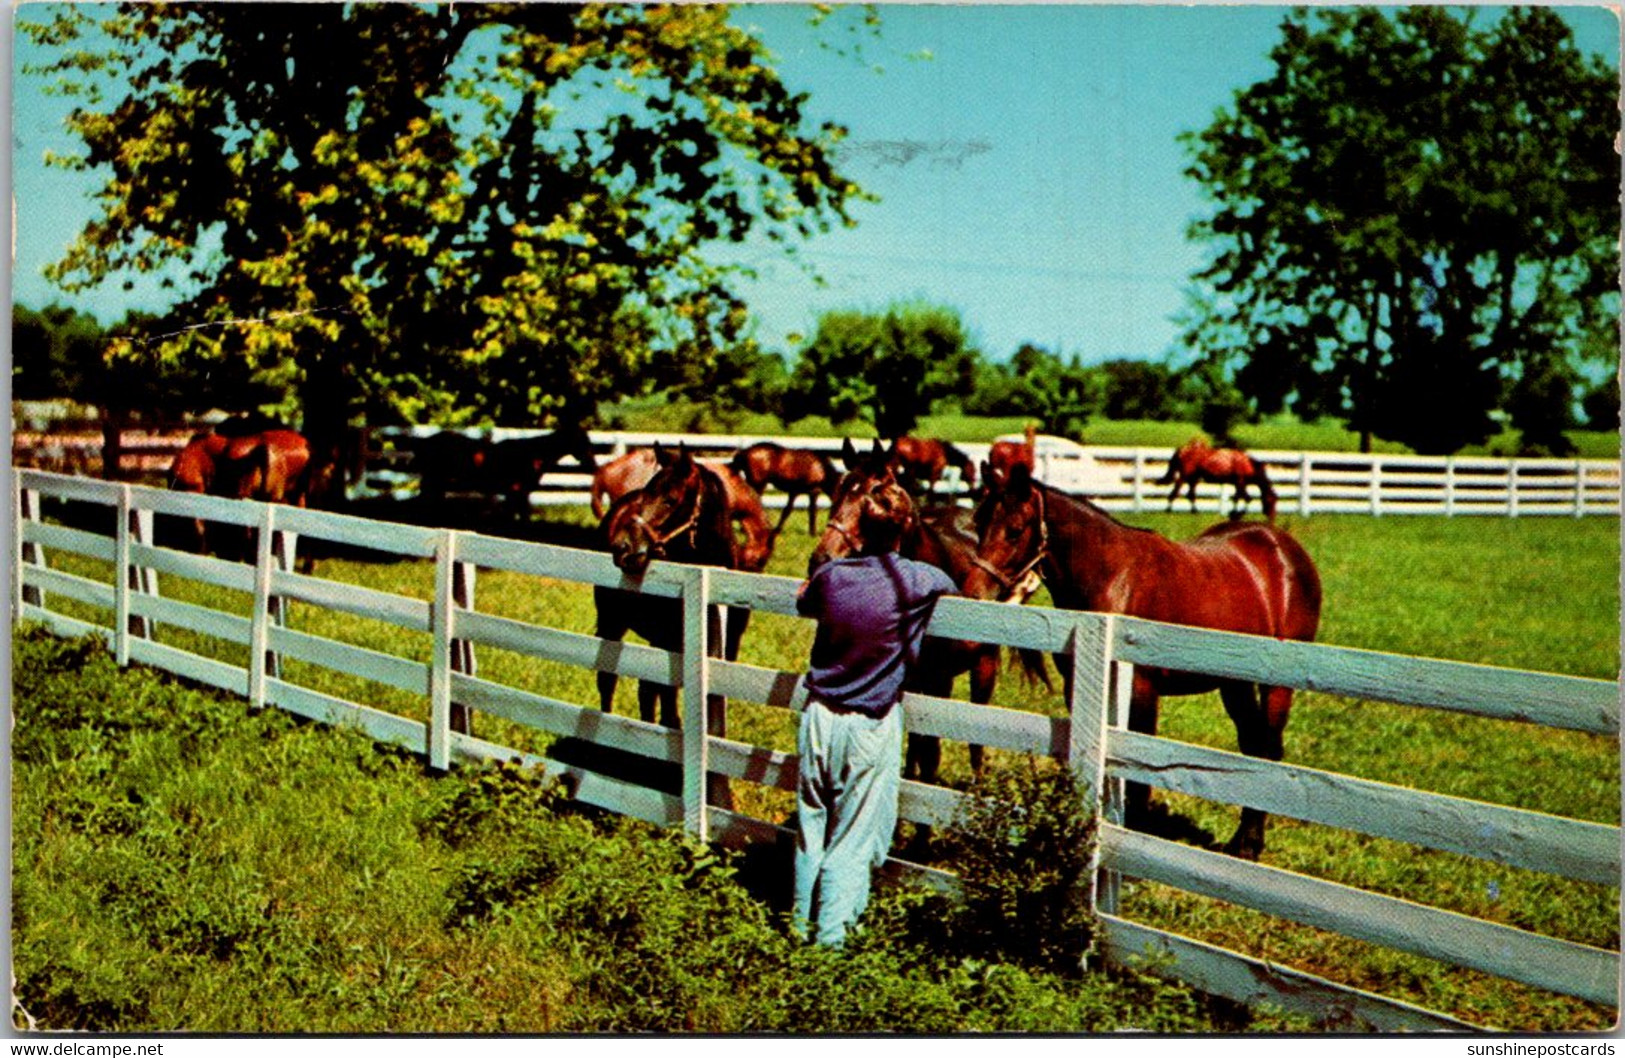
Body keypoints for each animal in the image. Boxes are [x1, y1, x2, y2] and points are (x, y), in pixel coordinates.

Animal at [591, 442, 754, 731]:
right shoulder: (667, 637)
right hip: (612, 621)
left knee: (646, 689)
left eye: (672, 499)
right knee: (608, 680)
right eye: (646, 496)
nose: (623, 548)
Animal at [962, 464, 1319, 858]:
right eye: (979, 522)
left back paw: (1250, 846)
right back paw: (1241, 841)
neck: (1114, 579)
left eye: (1015, 529)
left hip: (1277, 687)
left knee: (1267, 751)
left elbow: (1139, 779)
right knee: (1252, 748)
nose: (973, 593)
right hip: (1234, 685)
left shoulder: (1143, 695)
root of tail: (1284, 547)